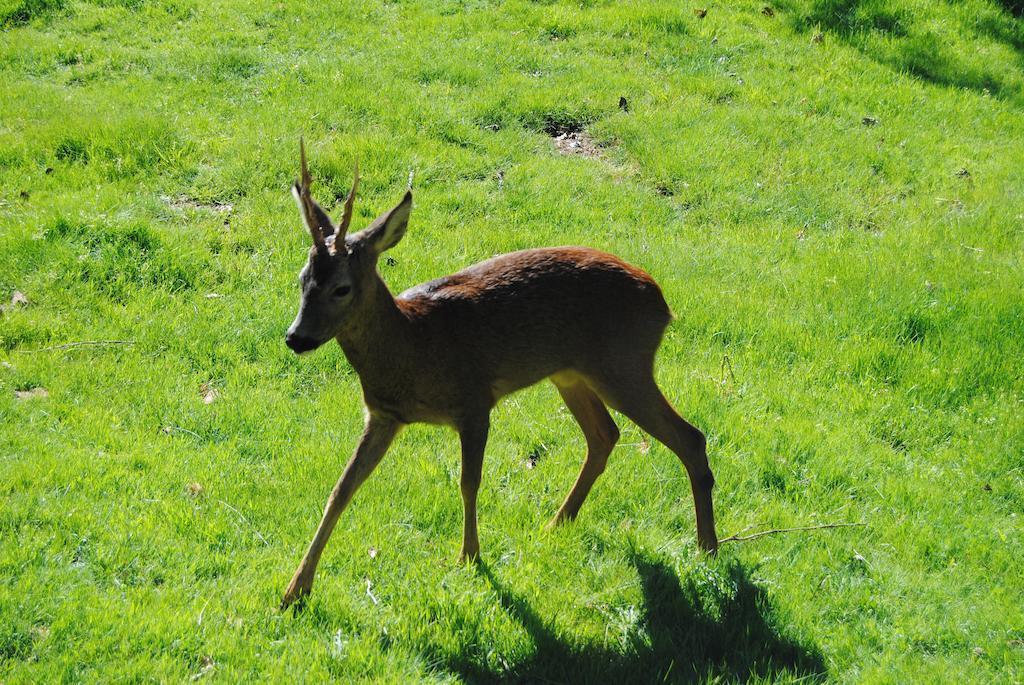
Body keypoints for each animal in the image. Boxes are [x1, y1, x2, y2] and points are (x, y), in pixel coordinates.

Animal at [276, 140, 716, 610]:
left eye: (341, 287)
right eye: (302, 278)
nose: (296, 337)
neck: (414, 345)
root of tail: (661, 301)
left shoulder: (473, 402)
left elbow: (468, 482)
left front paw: (468, 556)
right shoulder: (382, 415)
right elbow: (341, 490)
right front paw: (295, 589)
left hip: (625, 364)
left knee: (690, 436)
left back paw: (708, 548)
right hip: (572, 374)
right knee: (605, 435)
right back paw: (557, 522)